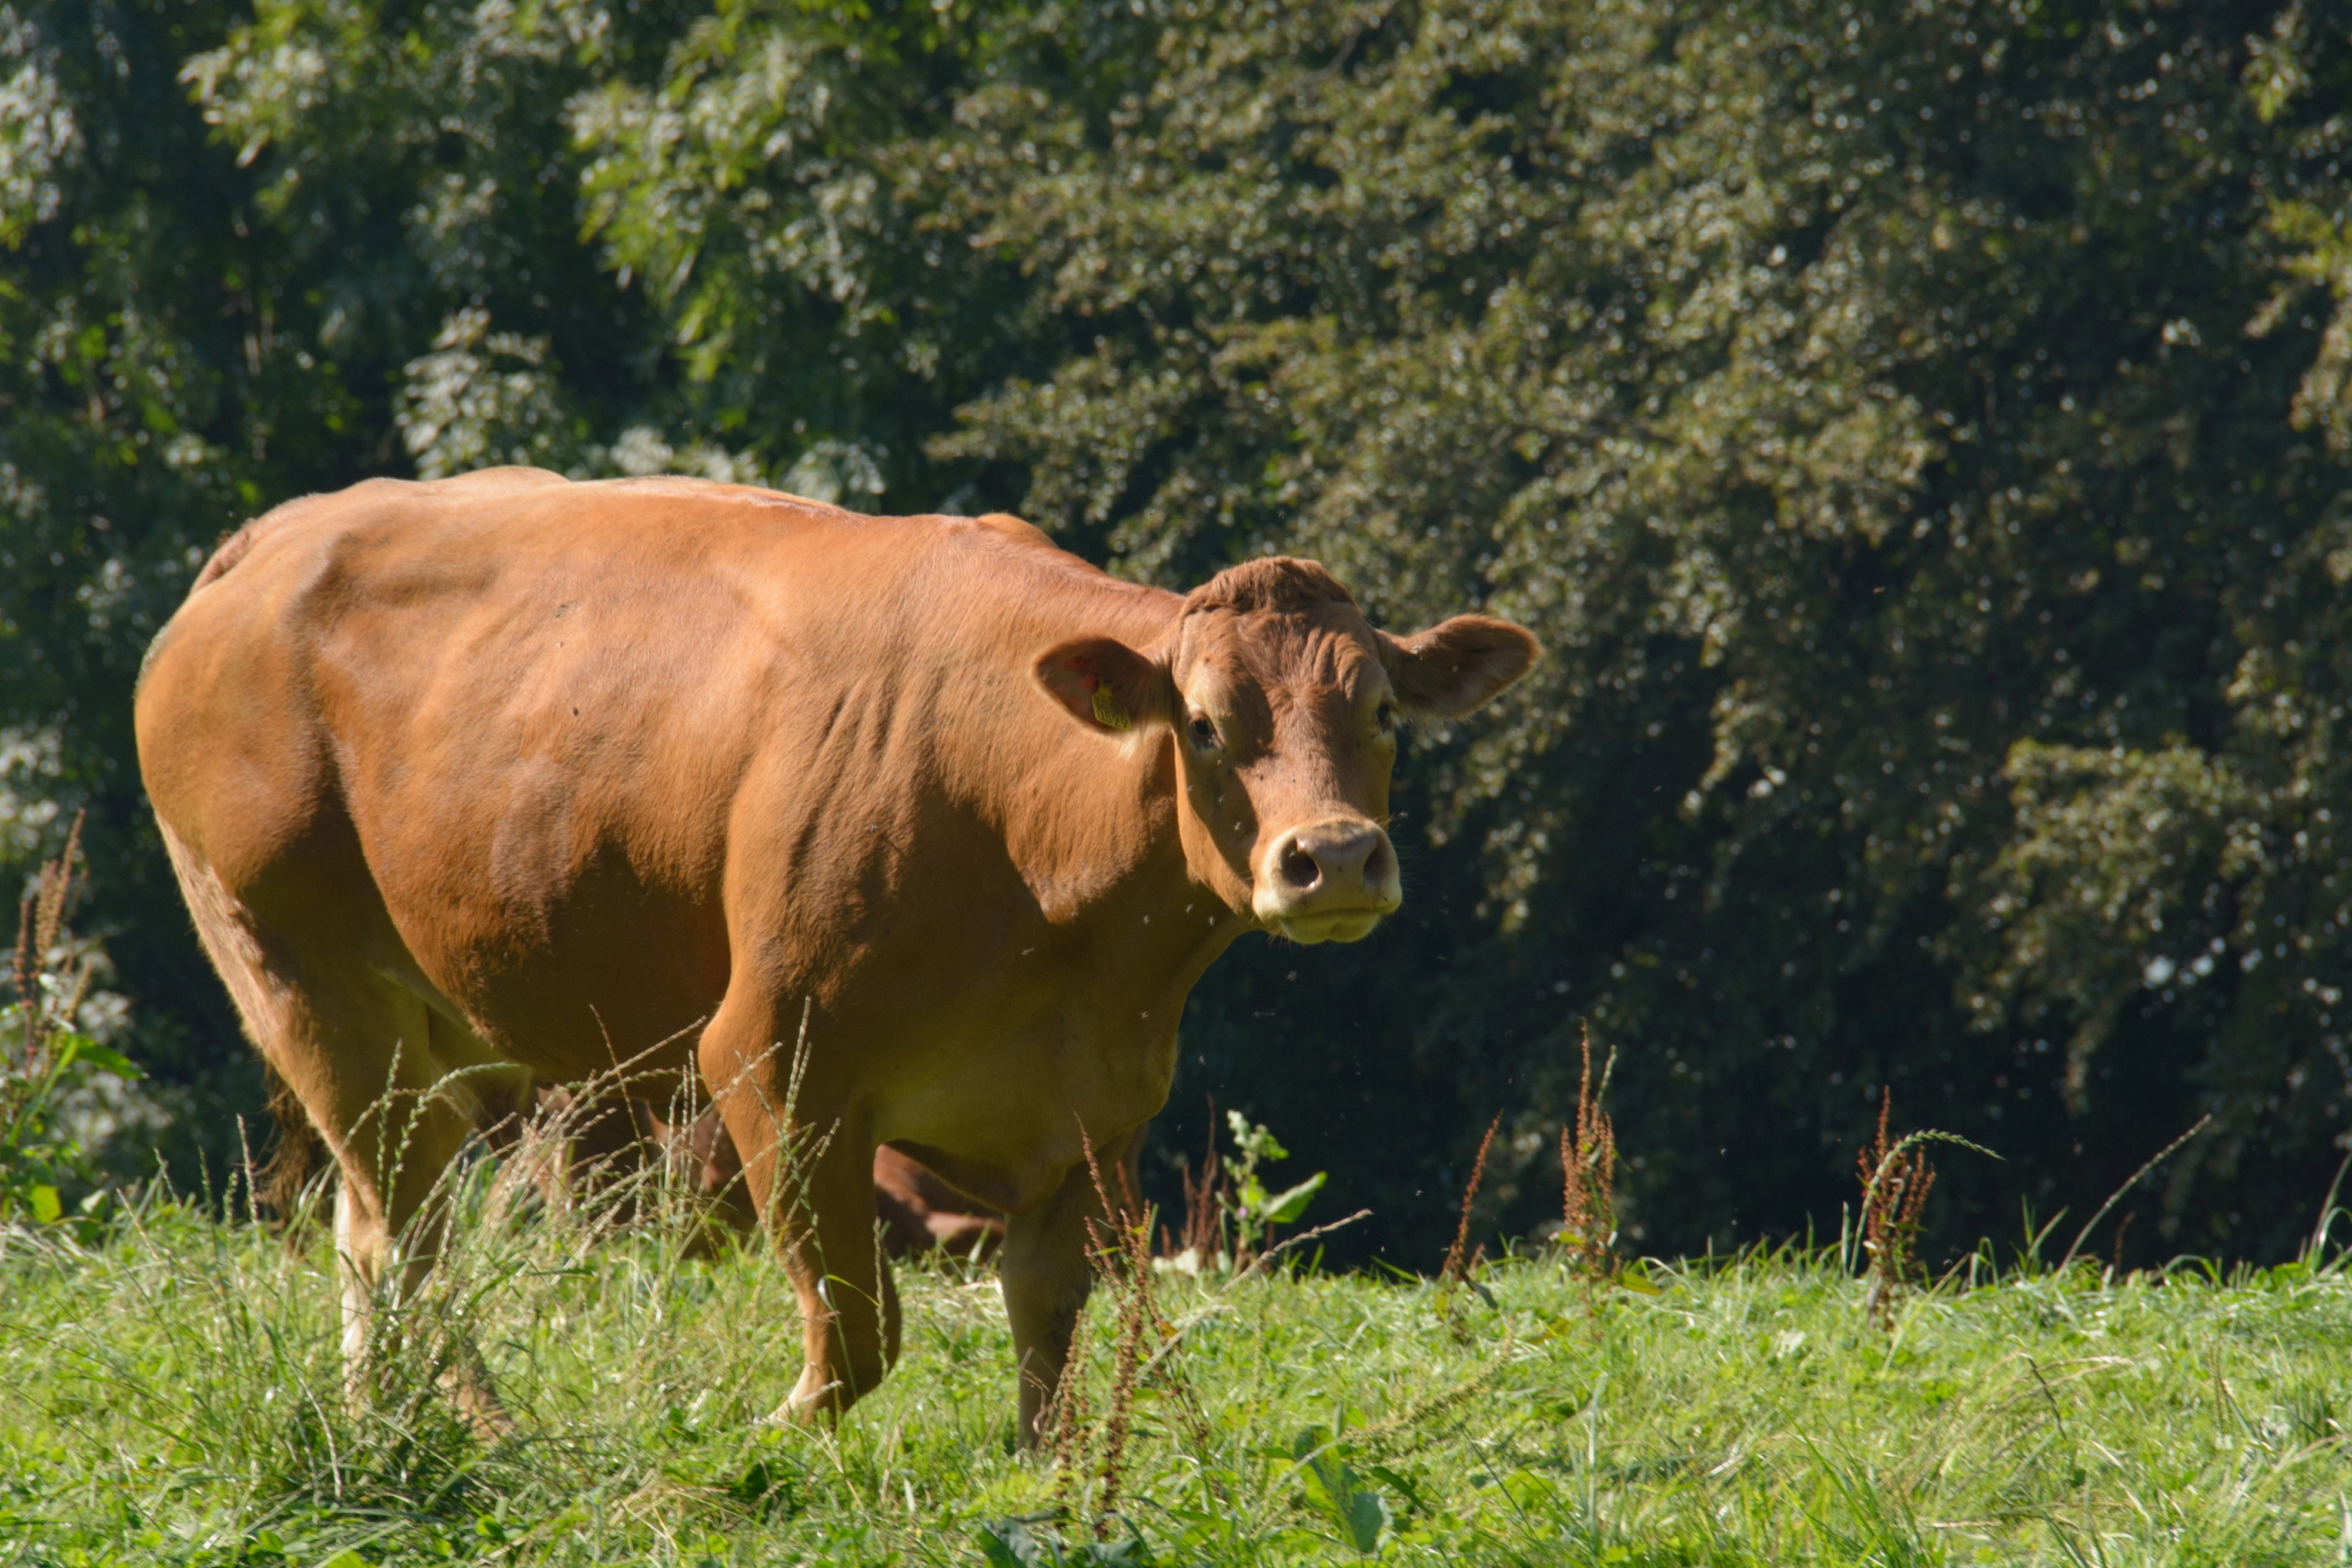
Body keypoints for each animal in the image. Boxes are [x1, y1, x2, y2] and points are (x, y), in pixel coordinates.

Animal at [138, 470, 1534, 1448]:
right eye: (1201, 723)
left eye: (1384, 713)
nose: (1333, 857)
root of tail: (280, 536)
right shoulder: (770, 1054)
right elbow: (856, 1334)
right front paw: (734, 1454)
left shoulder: (1091, 1110)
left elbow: (1047, 1331)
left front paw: (1043, 1484)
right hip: (298, 976)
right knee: (413, 1238)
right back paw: (488, 1433)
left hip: (441, 1030)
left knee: (372, 1229)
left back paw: (386, 1421)